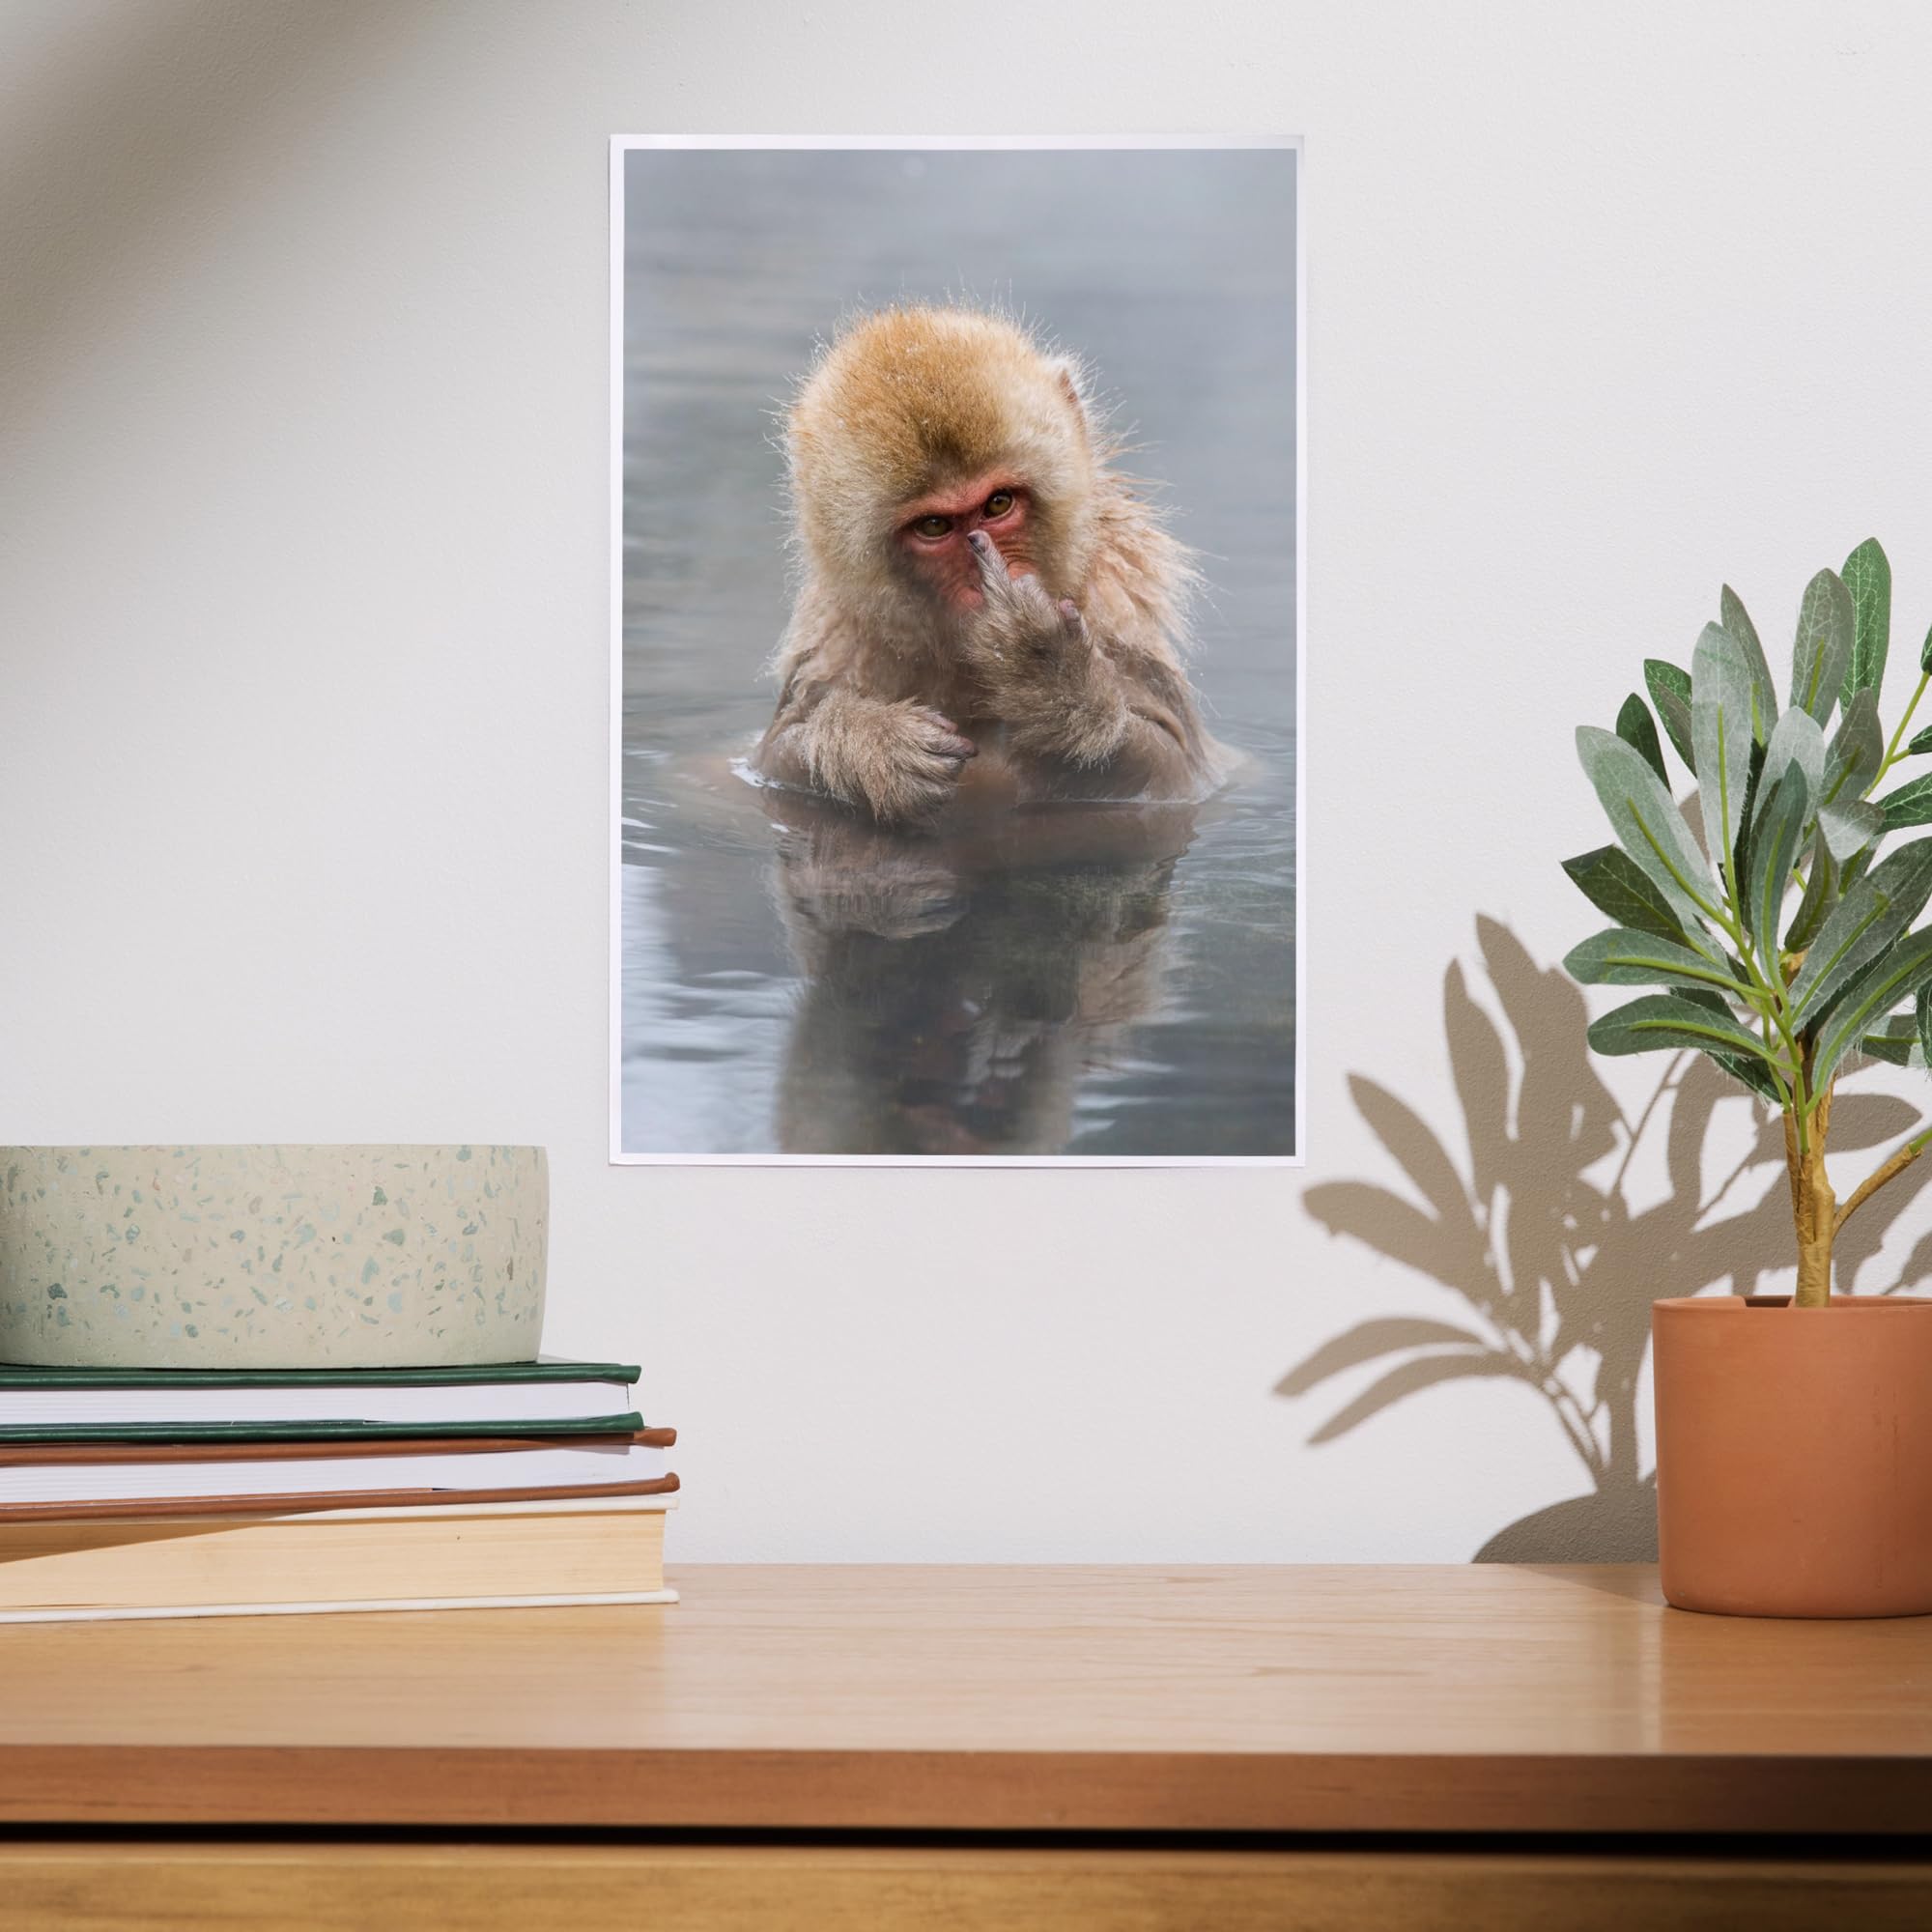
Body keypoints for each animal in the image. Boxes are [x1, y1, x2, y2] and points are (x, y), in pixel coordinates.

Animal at [753, 305, 1229, 825]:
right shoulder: (838, 642)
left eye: (998, 504)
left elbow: (1176, 769)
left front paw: (1047, 672)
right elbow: (774, 757)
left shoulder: (1118, 615)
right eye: (935, 526)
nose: (985, 587)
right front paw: (871, 743)